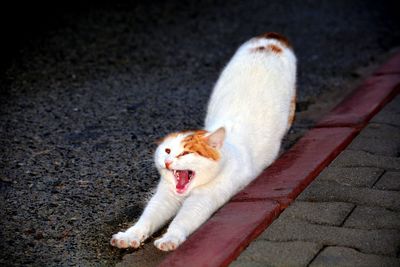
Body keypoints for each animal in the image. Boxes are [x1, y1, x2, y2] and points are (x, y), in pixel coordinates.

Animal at [111, 32, 296, 252]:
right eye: (167, 151)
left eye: (186, 153)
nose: (168, 162)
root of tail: (270, 39)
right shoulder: (165, 196)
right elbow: (148, 217)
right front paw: (130, 235)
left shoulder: (203, 199)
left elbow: (181, 221)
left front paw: (170, 238)